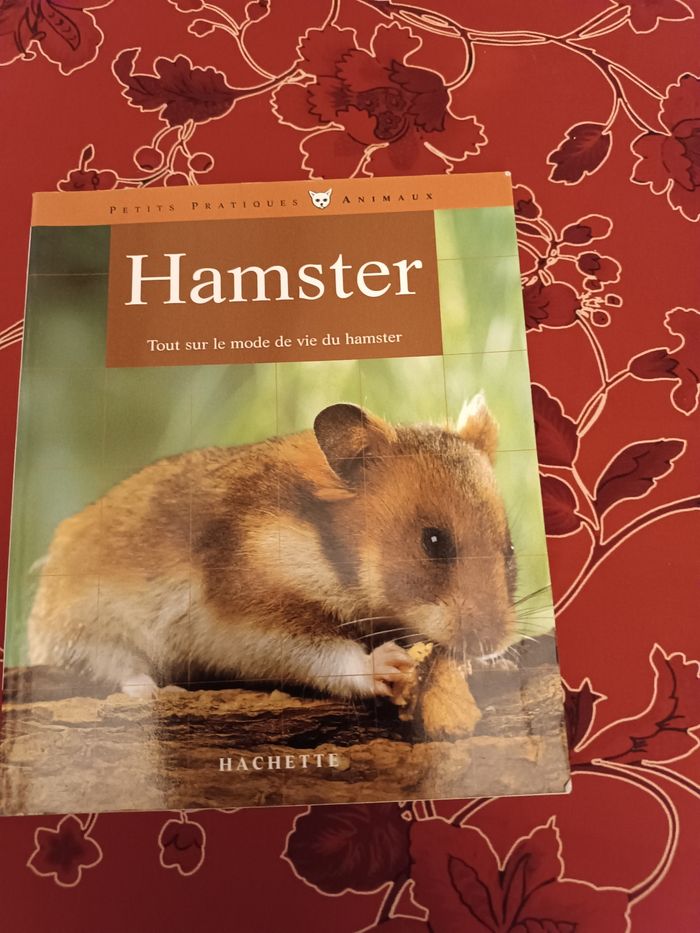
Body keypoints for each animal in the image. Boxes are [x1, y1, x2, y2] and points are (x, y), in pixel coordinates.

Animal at [27, 394, 517, 700]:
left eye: (510, 548)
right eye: (433, 542)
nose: (493, 643)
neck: (326, 548)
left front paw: (492, 667)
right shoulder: (244, 619)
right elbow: (321, 652)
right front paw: (387, 665)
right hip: (81, 629)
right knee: (109, 667)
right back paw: (152, 691)